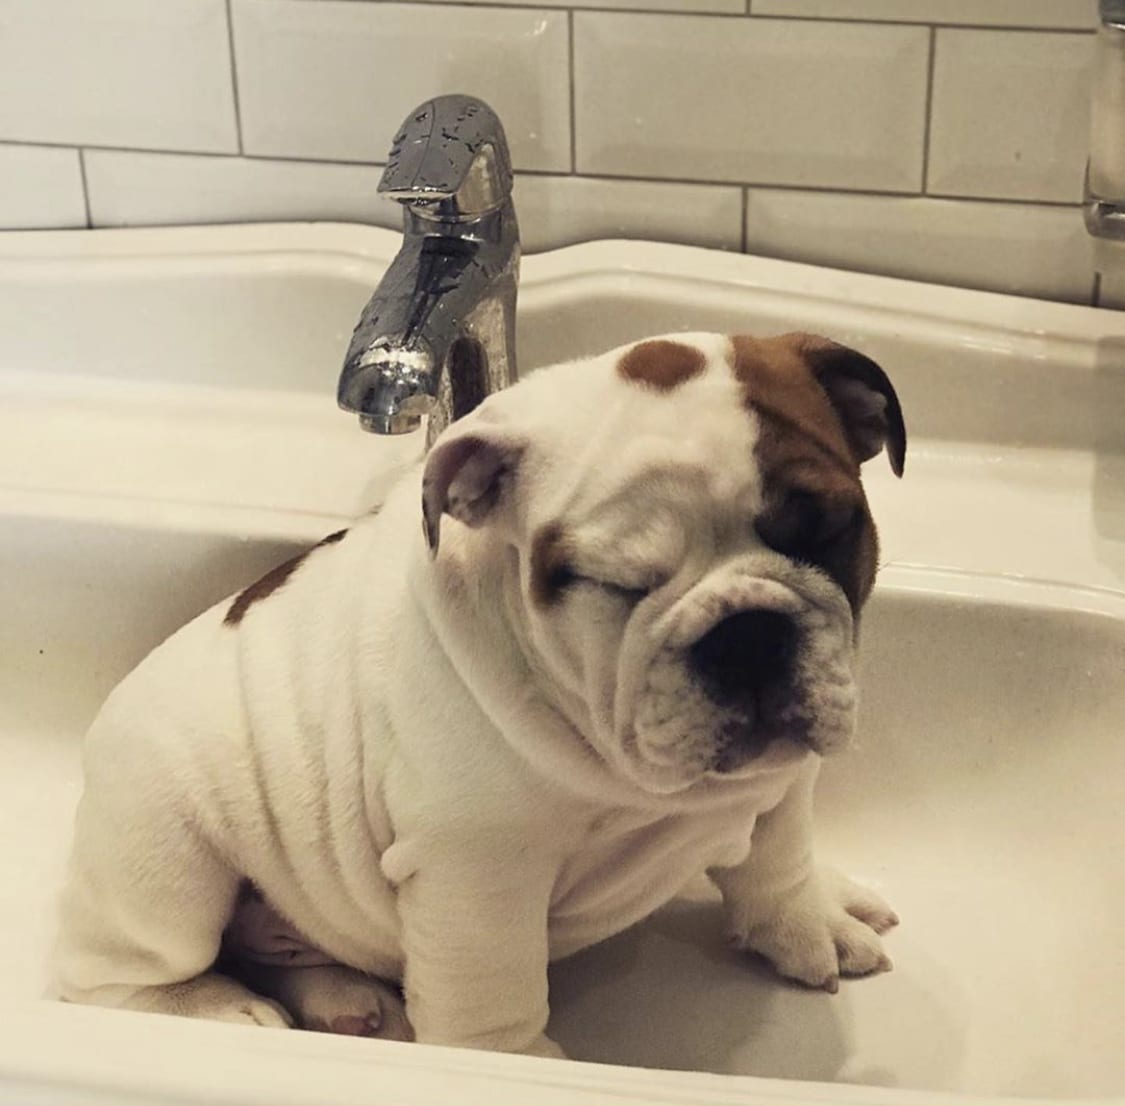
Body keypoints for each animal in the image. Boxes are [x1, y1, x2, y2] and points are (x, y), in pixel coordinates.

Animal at [57, 333, 909, 1057]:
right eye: (610, 582)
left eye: (827, 529)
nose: (747, 635)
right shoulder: (478, 872)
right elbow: (491, 989)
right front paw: (514, 1064)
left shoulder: (783, 778)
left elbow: (777, 858)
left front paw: (806, 918)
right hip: (166, 863)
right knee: (108, 976)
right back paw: (215, 1007)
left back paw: (340, 997)